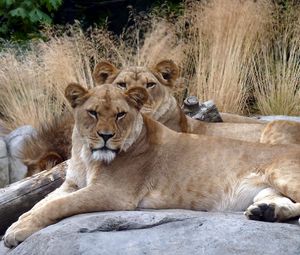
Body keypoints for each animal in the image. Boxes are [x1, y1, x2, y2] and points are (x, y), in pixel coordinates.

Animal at [4, 83, 300, 247]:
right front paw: (17, 222)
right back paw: (266, 212)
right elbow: (39, 203)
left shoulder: (112, 193)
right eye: (93, 113)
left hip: (282, 172)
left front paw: (18, 231)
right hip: (266, 189)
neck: (86, 155)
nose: (106, 136)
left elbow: (56, 206)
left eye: (121, 114)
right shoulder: (72, 184)